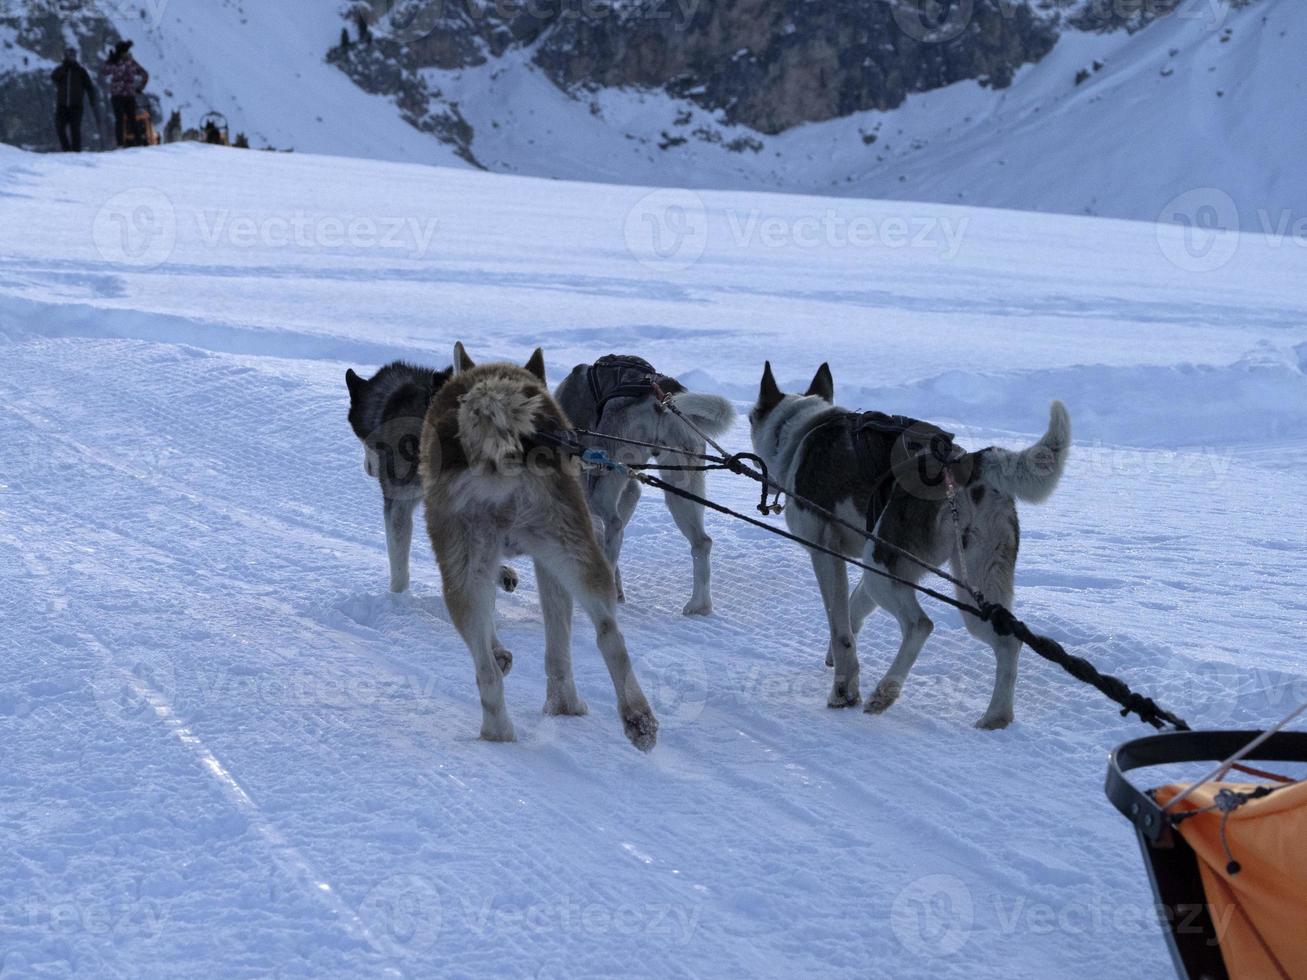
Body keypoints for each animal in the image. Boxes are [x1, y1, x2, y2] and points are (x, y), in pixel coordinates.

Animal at [423, 344, 658, 752]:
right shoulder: (544, 564)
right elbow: (557, 649)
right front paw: (559, 703)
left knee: (487, 666)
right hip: (572, 550)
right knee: (608, 633)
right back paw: (630, 718)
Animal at [551, 358, 737, 616]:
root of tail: (660, 395)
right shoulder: (631, 492)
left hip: (598, 484)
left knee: (614, 525)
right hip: (681, 489)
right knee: (702, 542)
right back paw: (699, 605)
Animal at [752, 363, 1066, 731]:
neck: (804, 432)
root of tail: (965, 462)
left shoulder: (826, 553)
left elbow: (841, 626)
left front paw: (844, 690)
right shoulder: (873, 564)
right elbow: (854, 610)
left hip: (885, 572)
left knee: (920, 625)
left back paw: (884, 692)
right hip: (969, 587)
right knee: (1007, 640)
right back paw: (995, 717)